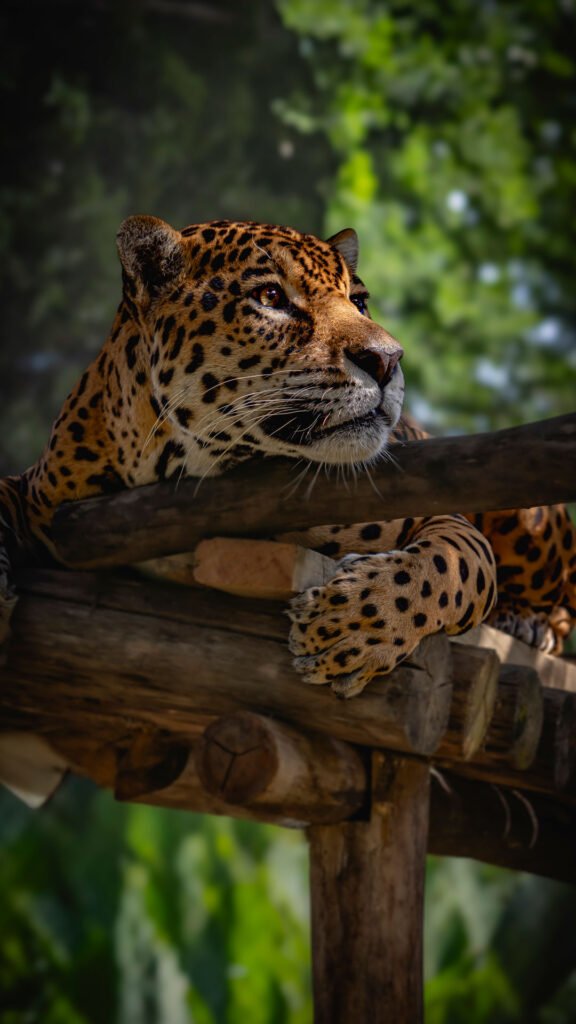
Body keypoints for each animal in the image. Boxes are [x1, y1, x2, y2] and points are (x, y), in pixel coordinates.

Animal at [0, 215, 574, 699]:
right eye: (271, 296)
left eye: (360, 302)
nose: (388, 359)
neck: (184, 468)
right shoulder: (39, 490)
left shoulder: (441, 517)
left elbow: (453, 565)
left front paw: (350, 629)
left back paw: (527, 623)